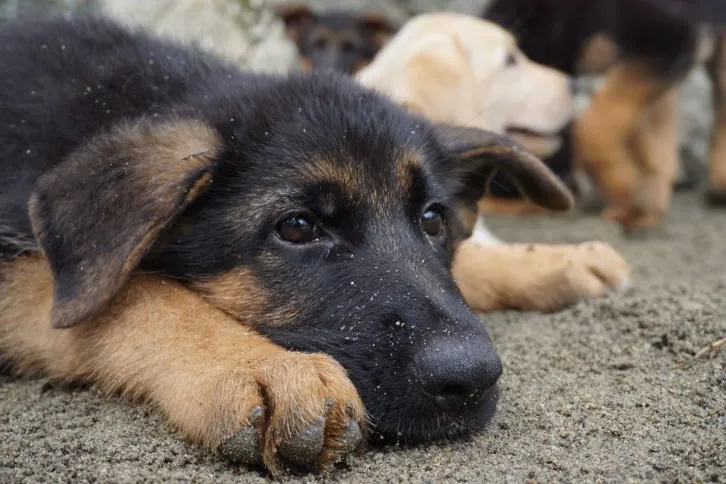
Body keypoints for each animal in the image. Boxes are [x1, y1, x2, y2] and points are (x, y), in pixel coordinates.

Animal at [0, 15, 576, 476]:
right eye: (297, 227)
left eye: (433, 219)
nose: (472, 377)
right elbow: (138, 293)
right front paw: (261, 366)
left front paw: (557, 265)